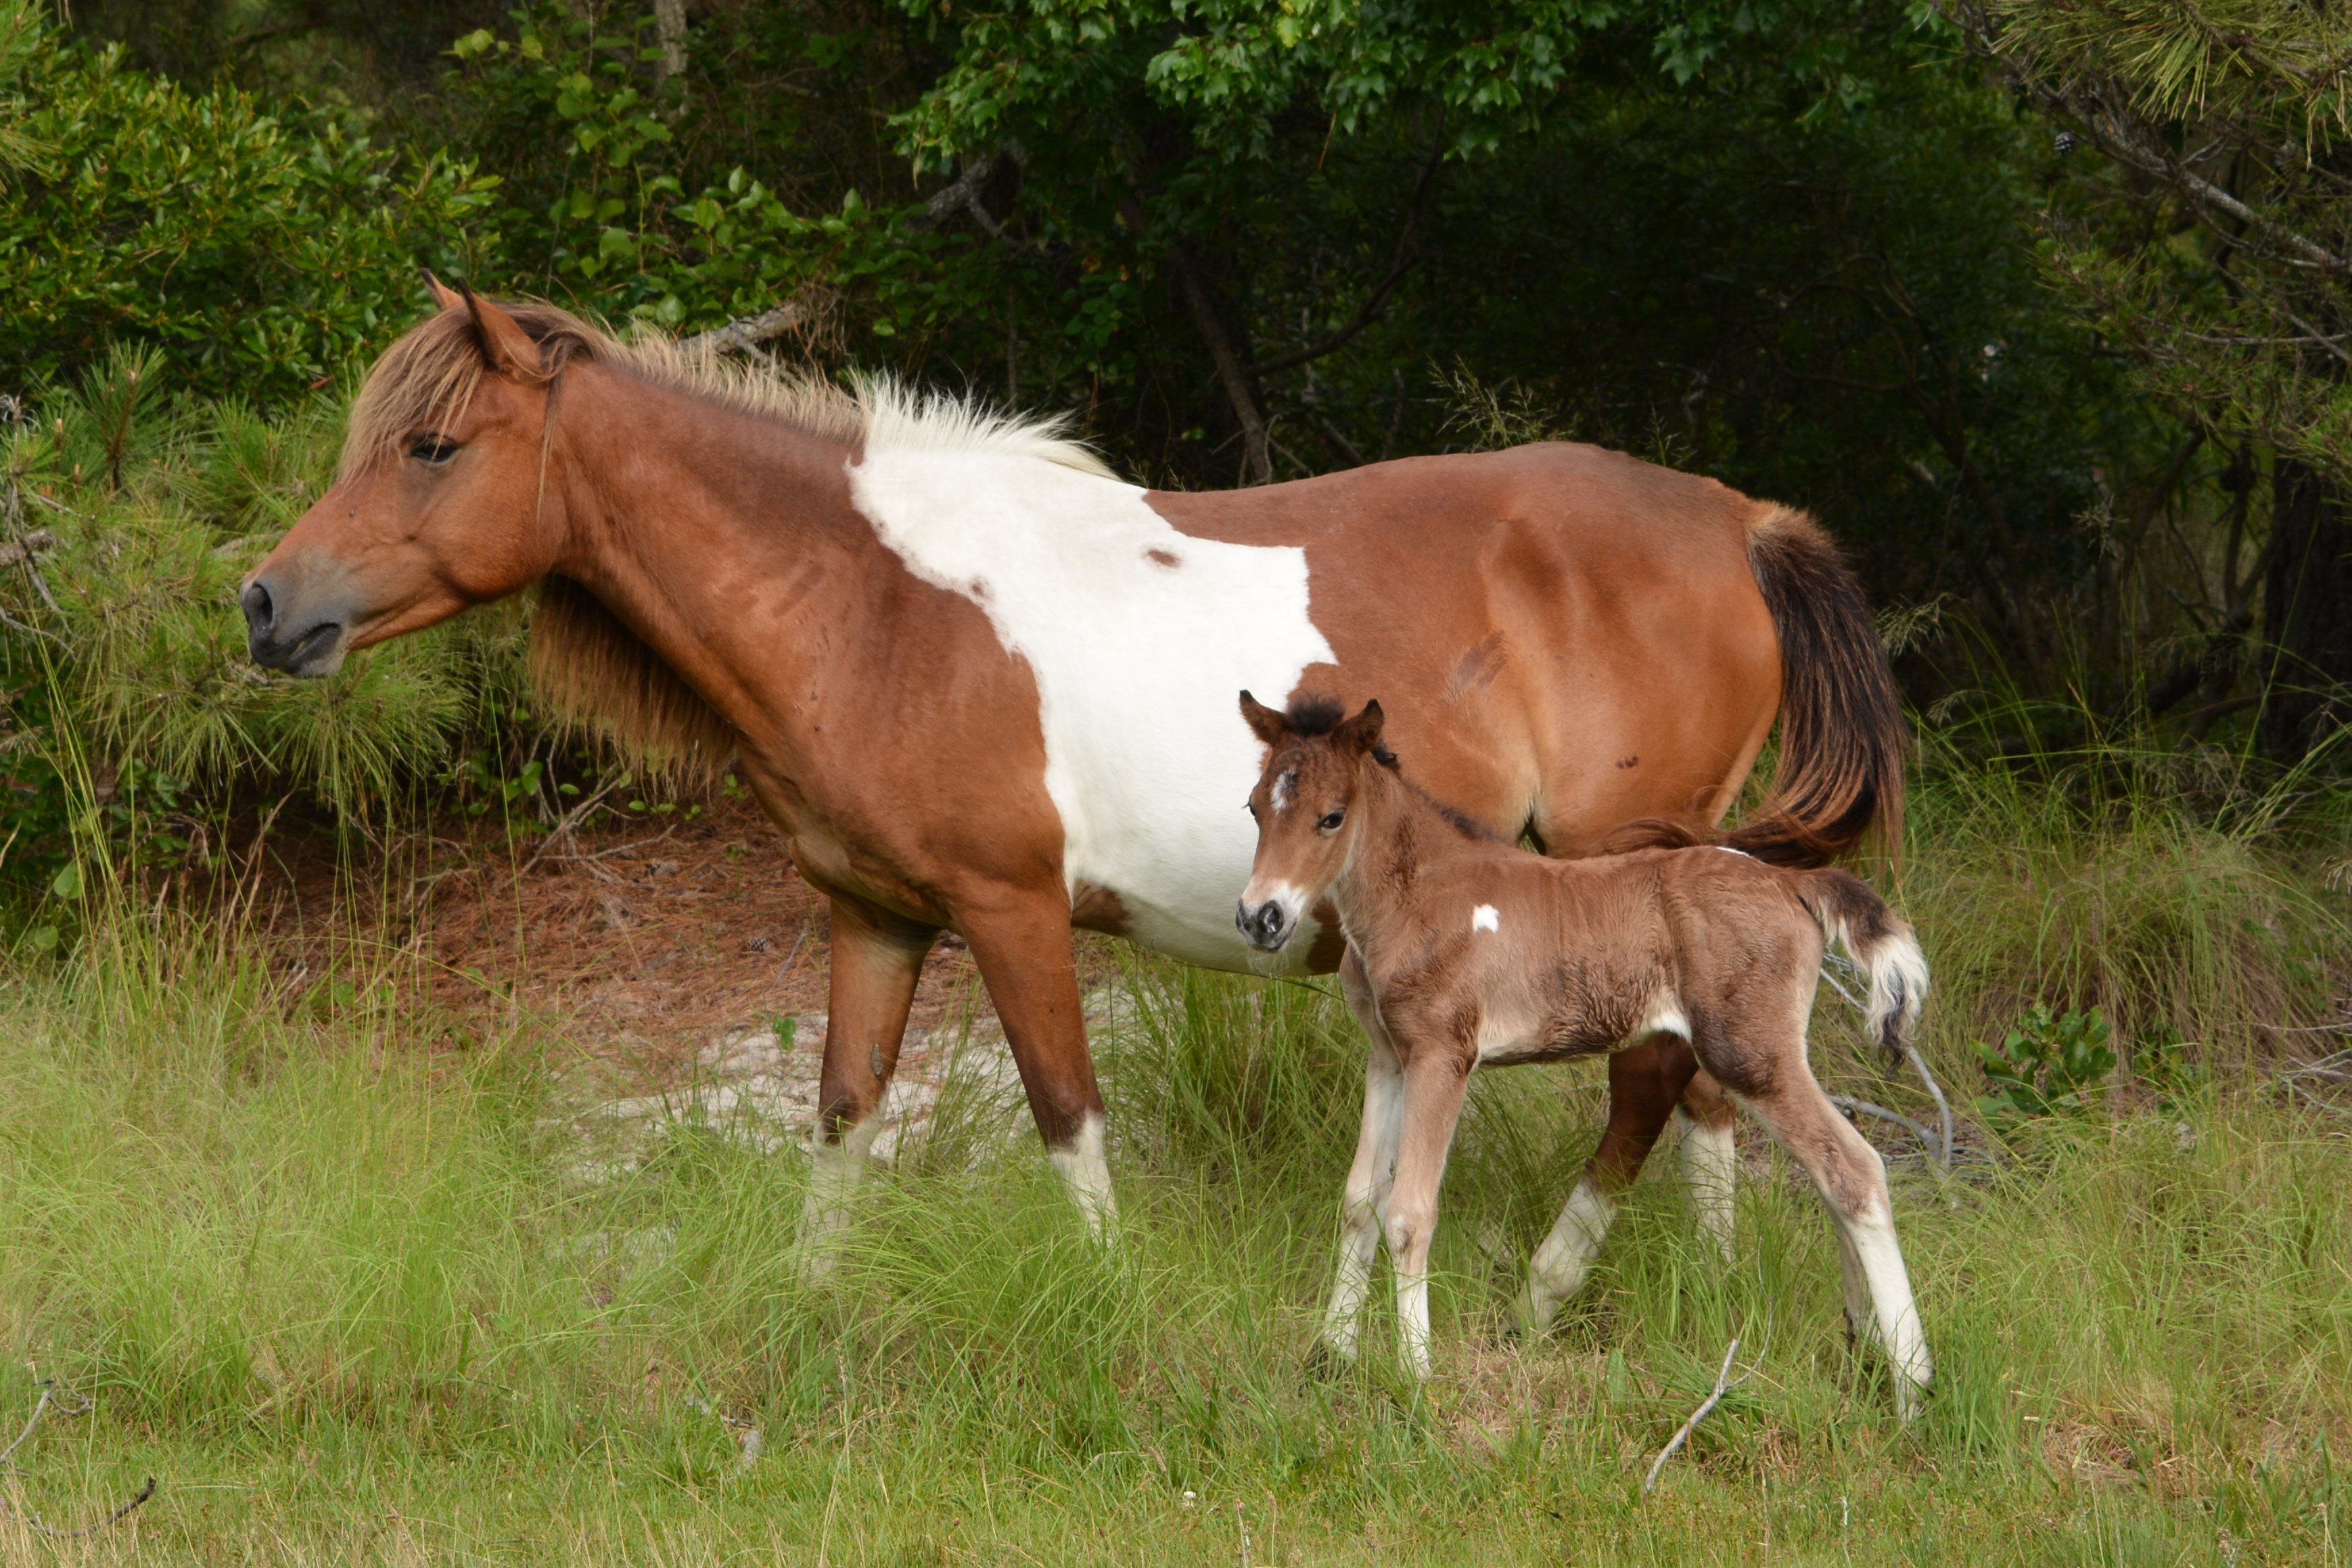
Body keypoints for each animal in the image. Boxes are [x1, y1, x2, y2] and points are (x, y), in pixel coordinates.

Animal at [238, 282, 1900, 1241]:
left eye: (431, 448)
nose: (266, 603)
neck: (874, 603)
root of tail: (1733, 517)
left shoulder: (1012, 910)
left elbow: (1064, 1117)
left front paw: (1112, 1315)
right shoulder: (877, 919)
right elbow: (839, 1120)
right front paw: (813, 1320)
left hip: (1634, 868)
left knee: (1664, 1076)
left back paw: (1577, 1285)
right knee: (1687, 1085)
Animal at [1232, 691, 1929, 1420]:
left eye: (1331, 815)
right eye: (1254, 806)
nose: (1260, 916)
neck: (1419, 896)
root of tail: (1793, 883)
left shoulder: (1442, 1056)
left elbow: (1409, 1213)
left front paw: (1416, 1376)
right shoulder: (1388, 1059)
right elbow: (1360, 1199)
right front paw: (1330, 1356)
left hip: (1750, 1053)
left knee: (1854, 1169)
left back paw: (1911, 1388)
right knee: (1829, 1174)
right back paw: (1863, 1356)